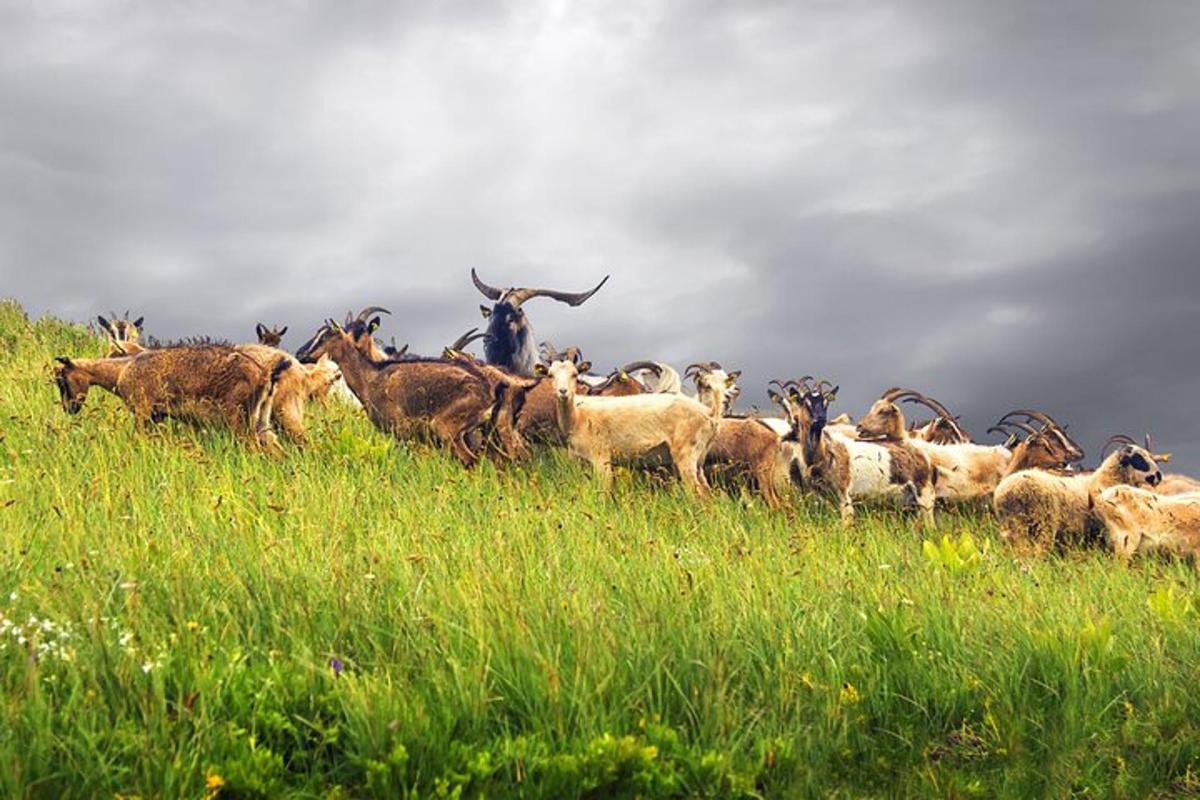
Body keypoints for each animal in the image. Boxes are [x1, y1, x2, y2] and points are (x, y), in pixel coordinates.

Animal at [54, 347, 288, 453]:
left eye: (62, 380)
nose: (69, 408)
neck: (121, 370)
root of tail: (266, 375)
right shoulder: (156, 415)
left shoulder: (142, 410)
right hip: (260, 419)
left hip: (238, 418)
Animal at [300, 319, 506, 470]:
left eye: (326, 337)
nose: (302, 355)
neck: (371, 377)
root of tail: (487, 392)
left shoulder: (400, 430)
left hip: (447, 427)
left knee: (471, 460)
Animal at [537, 357, 729, 494]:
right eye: (550, 375)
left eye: (575, 374)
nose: (563, 392)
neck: (578, 415)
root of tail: (710, 412)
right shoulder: (580, 462)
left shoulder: (601, 458)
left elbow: (603, 492)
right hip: (699, 459)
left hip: (686, 454)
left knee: (698, 494)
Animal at [993, 441, 1161, 554]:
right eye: (1138, 459)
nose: (1158, 476)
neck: (1105, 481)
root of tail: (1007, 491)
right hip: (1040, 525)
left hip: (1013, 528)